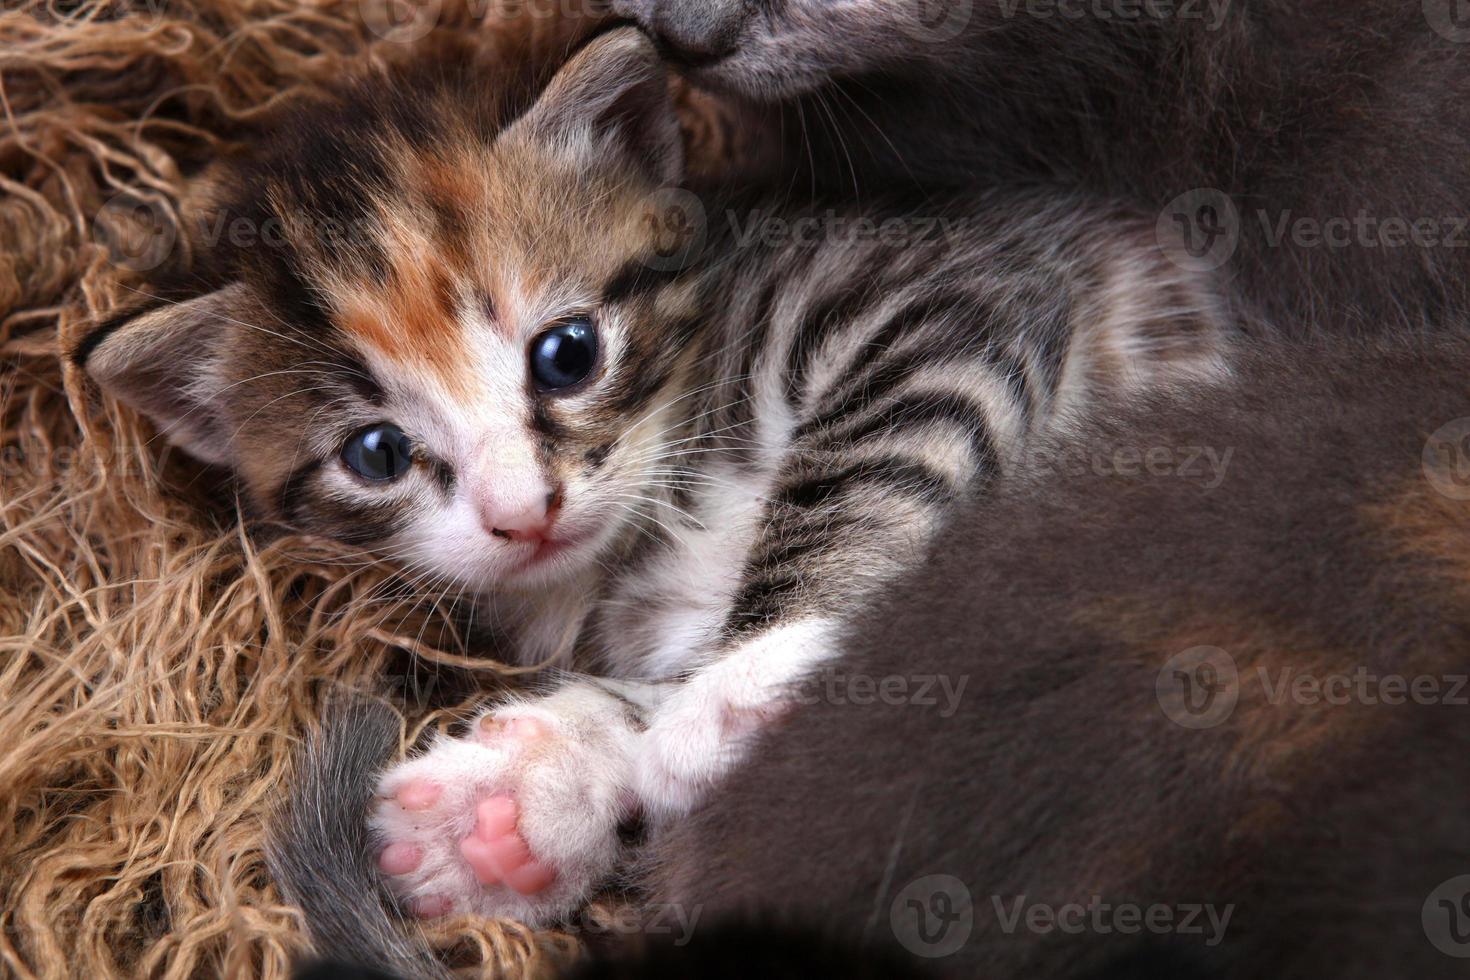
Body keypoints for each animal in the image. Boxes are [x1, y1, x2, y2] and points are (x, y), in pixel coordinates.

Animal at [80, 28, 1223, 952]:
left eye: (568, 353)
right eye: (376, 454)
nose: (520, 511)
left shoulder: (938, 296)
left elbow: (865, 465)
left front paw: (752, 687)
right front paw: (521, 806)